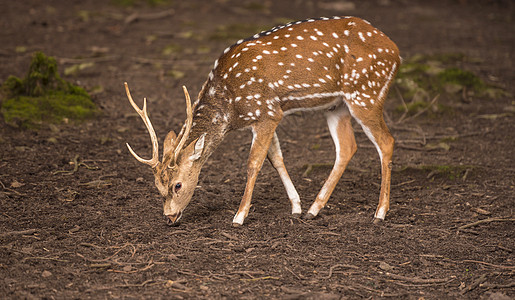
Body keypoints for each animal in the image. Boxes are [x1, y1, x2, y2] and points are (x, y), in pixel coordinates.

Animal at [126, 16, 404, 226]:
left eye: (177, 185)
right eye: (157, 186)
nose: (170, 217)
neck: (231, 106)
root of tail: (395, 50)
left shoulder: (268, 111)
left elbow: (254, 162)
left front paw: (239, 216)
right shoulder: (267, 114)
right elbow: (276, 158)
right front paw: (296, 207)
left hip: (366, 93)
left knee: (387, 141)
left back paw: (379, 213)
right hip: (336, 106)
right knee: (347, 147)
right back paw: (314, 209)